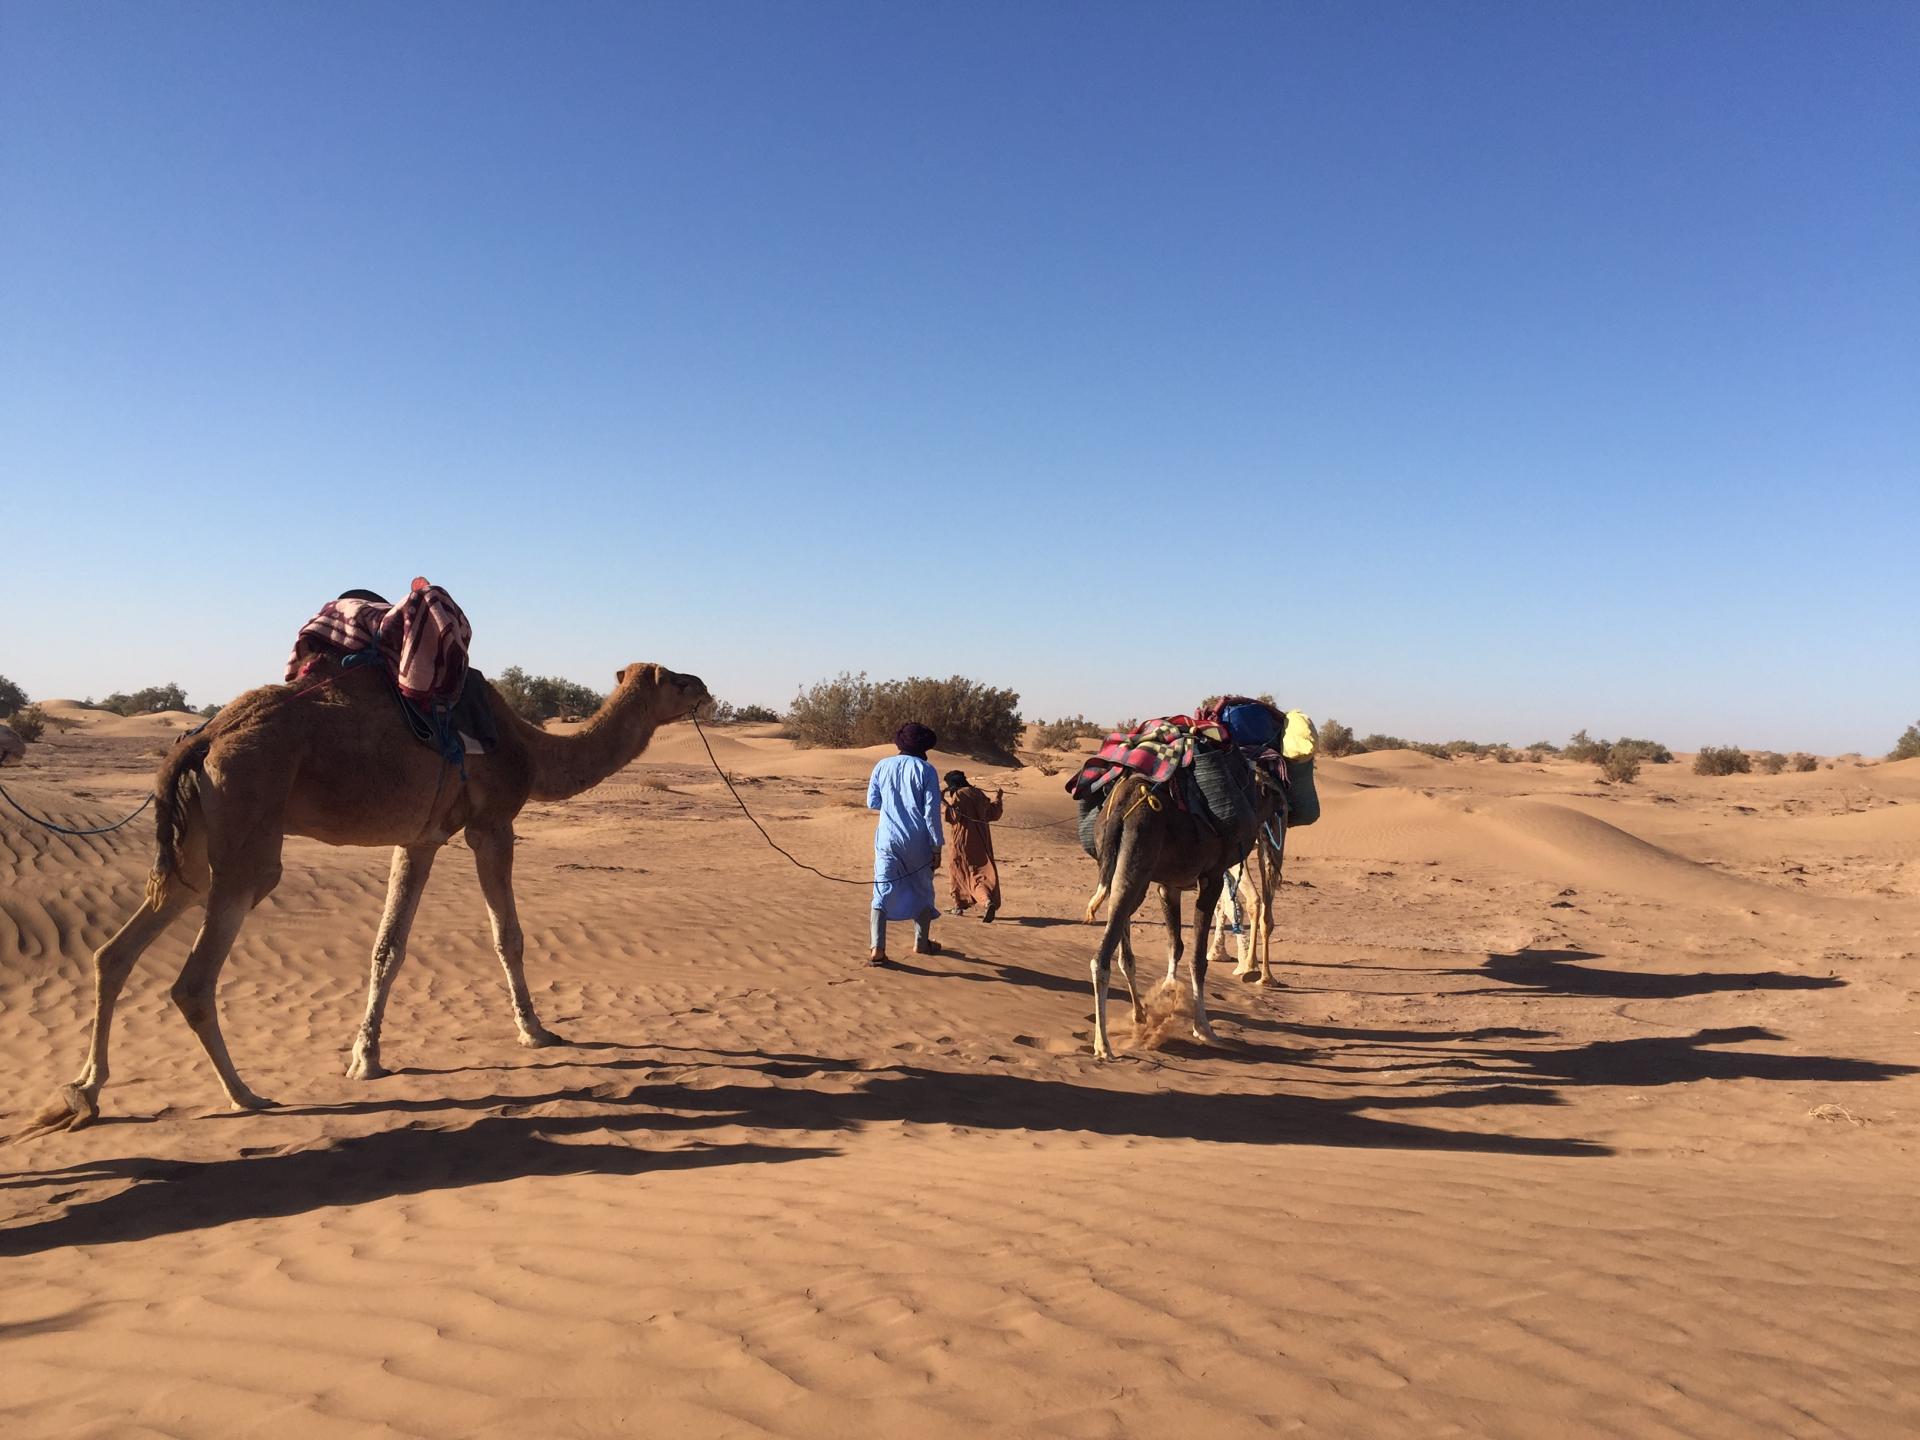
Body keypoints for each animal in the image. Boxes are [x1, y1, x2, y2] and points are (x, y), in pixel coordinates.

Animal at [16, 656, 706, 1136]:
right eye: (673, 679)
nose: (703, 686)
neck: (533, 750)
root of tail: (201, 740)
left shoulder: (420, 837)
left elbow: (388, 946)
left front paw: (365, 1058)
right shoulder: (491, 824)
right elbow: (506, 934)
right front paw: (537, 1031)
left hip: (193, 847)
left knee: (116, 950)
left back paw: (85, 1091)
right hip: (248, 833)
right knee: (194, 975)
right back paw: (245, 1095)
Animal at [1090, 771, 1282, 1067]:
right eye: (1274, 792)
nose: (1285, 807)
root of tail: (1120, 810)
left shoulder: (1167, 885)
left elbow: (1174, 945)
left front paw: (1164, 996)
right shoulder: (1211, 877)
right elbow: (1197, 959)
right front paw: (1203, 1027)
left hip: (1121, 873)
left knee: (1118, 941)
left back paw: (1135, 1018)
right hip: (1136, 865)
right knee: (1101, 958)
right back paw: (1103, 1046)